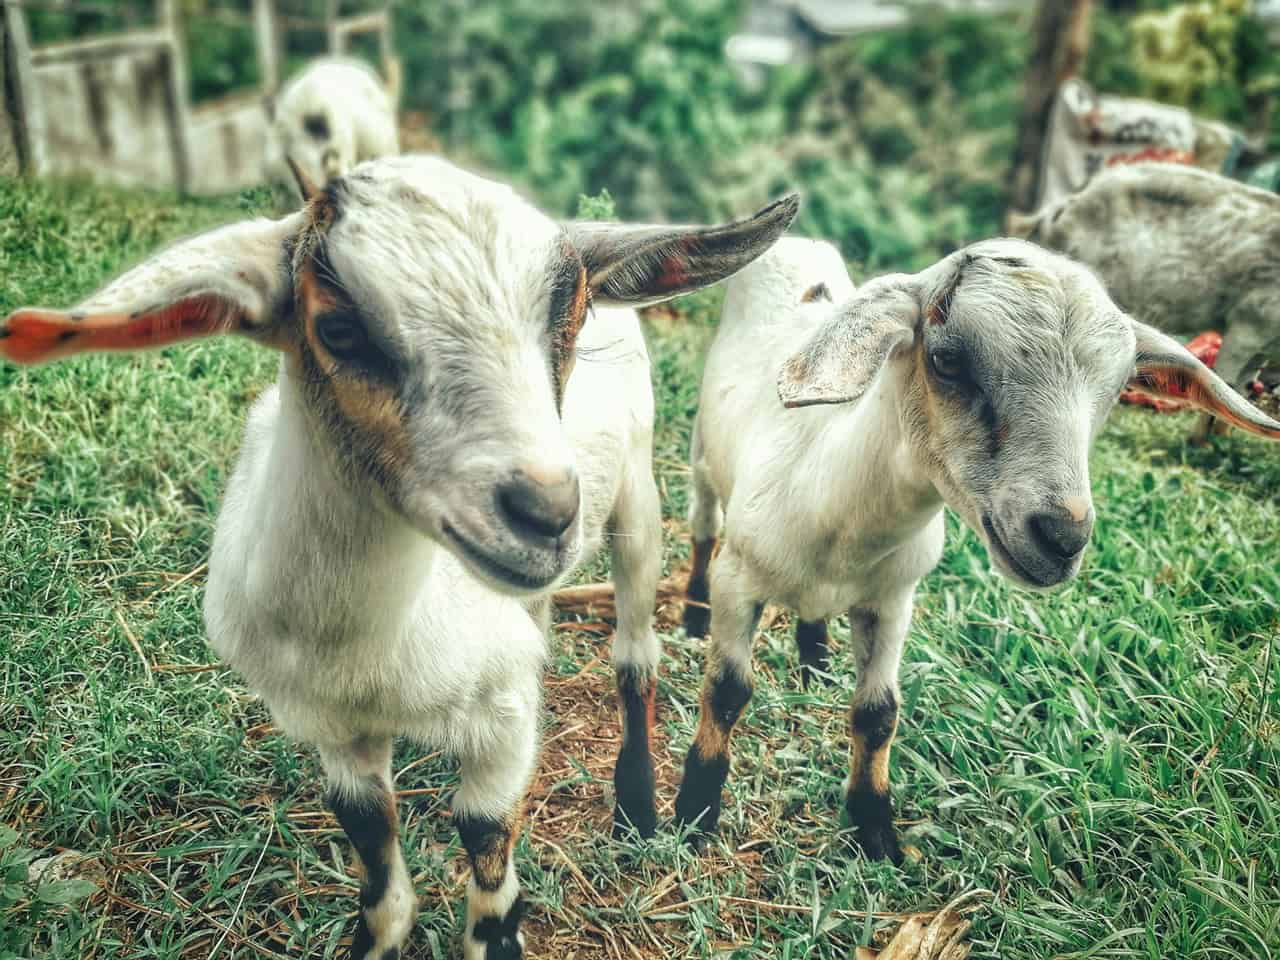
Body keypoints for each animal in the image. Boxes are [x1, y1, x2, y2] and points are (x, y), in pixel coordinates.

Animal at [2, 154, 798, 957]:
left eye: (568, 320)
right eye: (339, 329)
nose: (545, 513)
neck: (366, 646)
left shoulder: (501, 722)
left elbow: (483, 831)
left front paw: (497, 931)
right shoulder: (327, 724)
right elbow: (371, 845)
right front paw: (380, 933)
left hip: (636, 497)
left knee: (635, 654)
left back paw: (637, 804)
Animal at [675, 235, 1274, 865]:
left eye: (1114, 394)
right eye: (947, 361)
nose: (1062, 537)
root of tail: (799, 241)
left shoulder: (893, 600)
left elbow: (878, 714)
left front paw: (877, 832)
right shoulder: (739, 581)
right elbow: (727, 691)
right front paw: (694, 811)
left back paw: (814, 660)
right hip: (702, 461)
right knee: (702, 526)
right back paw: (693, 615)